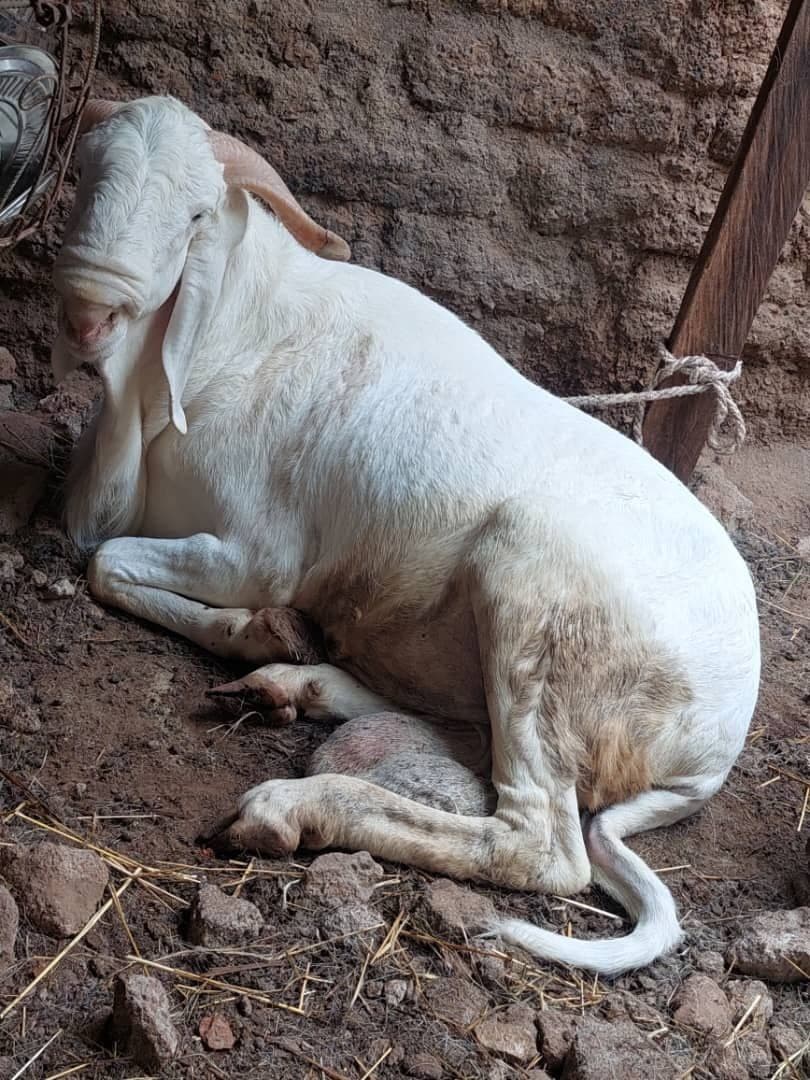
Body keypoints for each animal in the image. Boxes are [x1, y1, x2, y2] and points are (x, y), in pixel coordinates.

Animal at [50, 95, 761, 976]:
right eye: (85, 170)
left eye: (193, 216)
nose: (88, 311)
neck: (227, 337)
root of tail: (715, 748)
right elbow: (105, 560)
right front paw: (265, 639)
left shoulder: (255, 551)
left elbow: (107, 564)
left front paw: (258, 629)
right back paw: (290, 684)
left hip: (532, 596)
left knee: (539, 842)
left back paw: (294, 803)